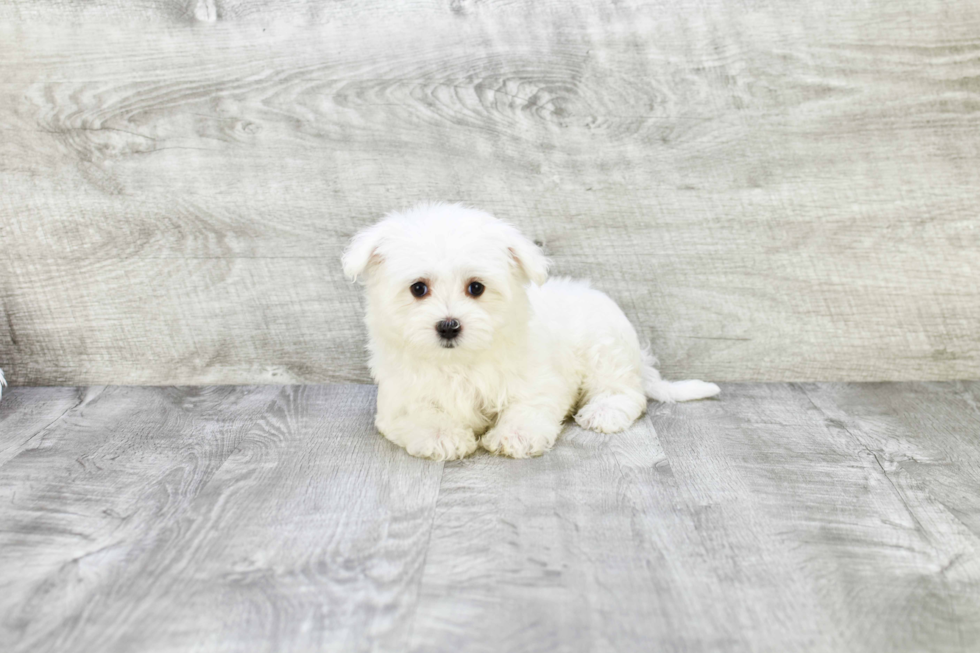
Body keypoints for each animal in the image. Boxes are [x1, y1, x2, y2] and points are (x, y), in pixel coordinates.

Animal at [344, 204, 720, 458]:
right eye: (418, 288)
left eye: (476, 288)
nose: (448, 326)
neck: (460, 363)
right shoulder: (401, 397)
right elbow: (420, 415)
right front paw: (442, 436)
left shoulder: (537, 379)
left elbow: (527, 405)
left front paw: (515, 435)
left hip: (606, 350)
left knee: (625, 391)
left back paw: (604, 411)